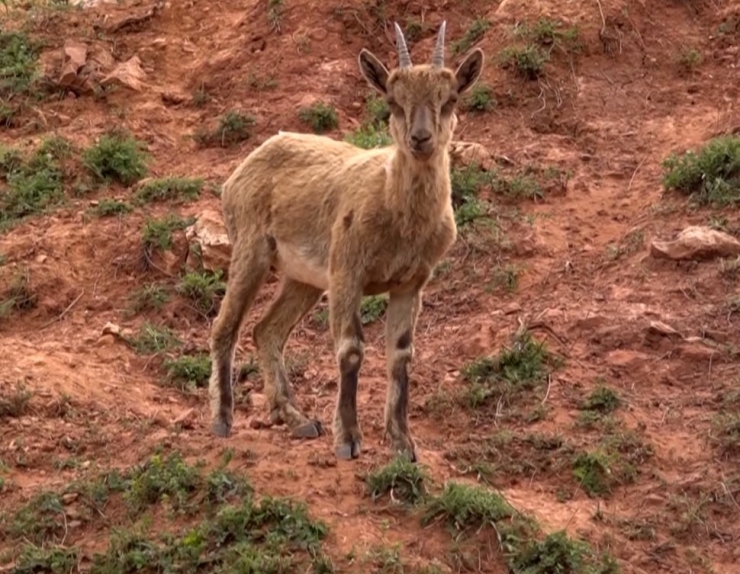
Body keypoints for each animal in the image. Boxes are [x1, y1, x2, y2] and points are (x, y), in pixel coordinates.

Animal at [208, 22, 486, 464]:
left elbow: (401, 355)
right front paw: (349, 439)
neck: (394, 209)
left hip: (303, 279)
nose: (420, 138)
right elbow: (350, 349)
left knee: (266, 331)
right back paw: (221, 418)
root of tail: (238, 174)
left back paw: (298, 418)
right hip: (252, 250)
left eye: (450, 98)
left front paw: (403, 443)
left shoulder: (412, 283)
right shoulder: (347, 271)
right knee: (226, 325)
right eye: (392, 100)